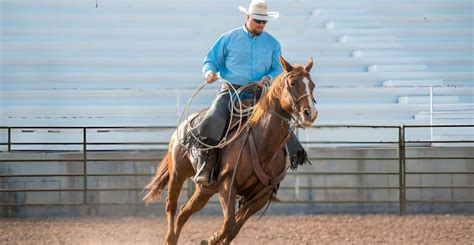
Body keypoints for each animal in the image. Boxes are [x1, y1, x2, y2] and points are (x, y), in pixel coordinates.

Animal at [143, 56, 316, 244]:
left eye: (312, 85)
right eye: (292, 83)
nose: (310, 113)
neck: (262, 142)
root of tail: (181, 128)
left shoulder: (261, 196)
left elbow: (233, 228)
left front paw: (211, 239)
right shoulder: (227, 185)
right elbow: (229, 224)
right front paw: (209, 240)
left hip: (205, 189)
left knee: (183, 212)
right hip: (178, 174)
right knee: (171, 207)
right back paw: (169, 237)